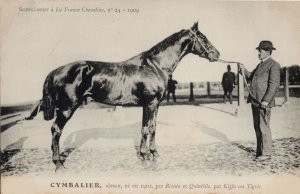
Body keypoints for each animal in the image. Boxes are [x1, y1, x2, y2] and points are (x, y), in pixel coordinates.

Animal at [27, 22, 220, 169]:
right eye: (203, 38)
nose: (217, 55)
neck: (155, 65)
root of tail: (55, 71)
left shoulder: (156, 104)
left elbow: (152, 128)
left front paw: (154, 154)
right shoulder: (149, 103)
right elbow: (145, 129)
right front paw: (144, 157)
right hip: (67, 108)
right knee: (56, 130)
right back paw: (58, 164)